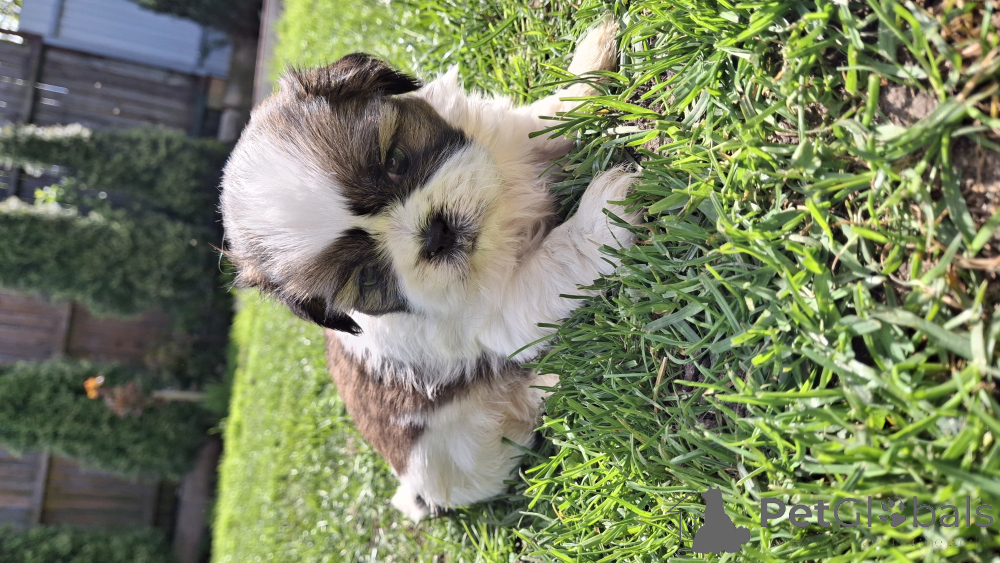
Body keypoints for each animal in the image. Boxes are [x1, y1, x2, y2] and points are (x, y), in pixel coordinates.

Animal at [220, 17, 641, 521]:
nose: (435, 233)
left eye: (395, 161)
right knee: (513, 421)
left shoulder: (502, 134)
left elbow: (544, 119)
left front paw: (589, 63)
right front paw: (607, 211)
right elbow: (557, 259)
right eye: (368, 277)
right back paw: (552, 381)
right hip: (468, 447)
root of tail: (415, 493)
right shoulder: (502, 314)